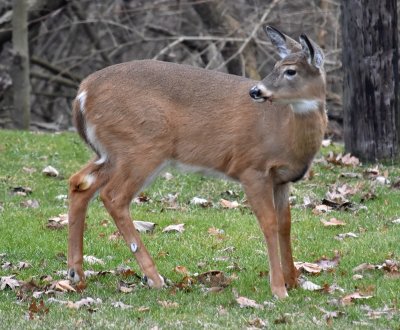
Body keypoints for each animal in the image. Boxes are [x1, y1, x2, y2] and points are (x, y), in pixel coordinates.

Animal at [67, 26, 326, 300]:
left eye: (290, 70)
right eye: (277, 66)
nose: (256, 91)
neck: (285, 132)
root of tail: (83, 93)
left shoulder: (282, 179)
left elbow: (285, 224)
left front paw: (294, 282)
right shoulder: (251, 168)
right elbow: (269, 223)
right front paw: (278, 289)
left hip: (112, 152)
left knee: (80, 183)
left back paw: (76, 273)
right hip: (141, 147)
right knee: (113, 197)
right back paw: (154, 277)